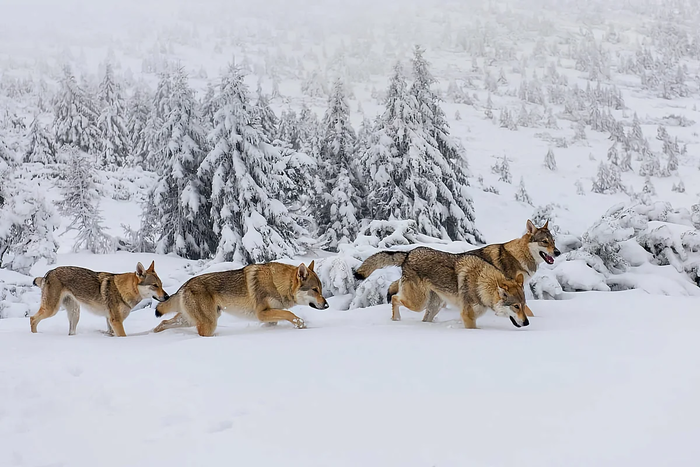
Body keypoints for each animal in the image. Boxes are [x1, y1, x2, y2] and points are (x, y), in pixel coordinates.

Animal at [31, 264, 171, 336]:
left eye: (161, 285)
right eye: (154, 285)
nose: (167, 297)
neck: (122, 290)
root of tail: (48, 272)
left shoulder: (110, 321)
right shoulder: (116, 321)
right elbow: (123, 336)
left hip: (75, 313)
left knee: (71, 331)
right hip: (51, 310)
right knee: (32, 319)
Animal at [153, 260, 328, 336]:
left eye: (321, 290)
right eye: (314, 290)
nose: (326, 305)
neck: (277, 283)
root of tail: (184, 285)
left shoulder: (270, 316)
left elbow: (279, 318)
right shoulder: (261, 313)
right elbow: (290, 314)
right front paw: (301, 324)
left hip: (190, 319)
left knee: (163, 322)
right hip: (209, 323)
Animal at [352, 249, 528, 330]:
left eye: (524, 306)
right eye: (516, 306)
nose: (527, 323)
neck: (482, 283)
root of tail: (408, 253)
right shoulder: (468, 316)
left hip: (433, 306)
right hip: (419, 303)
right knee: (395, 298)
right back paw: (396, 320)